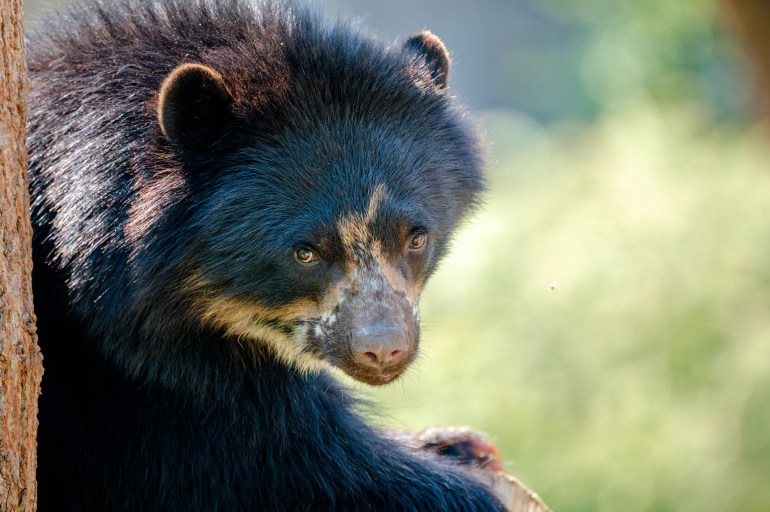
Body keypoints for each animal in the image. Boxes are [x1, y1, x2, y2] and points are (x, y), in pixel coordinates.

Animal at [27, 0, 500, 510]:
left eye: (416, 238)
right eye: (304, 253)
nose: (383, 350)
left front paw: (459, 443)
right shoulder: (116, 382)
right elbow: (281, 461)